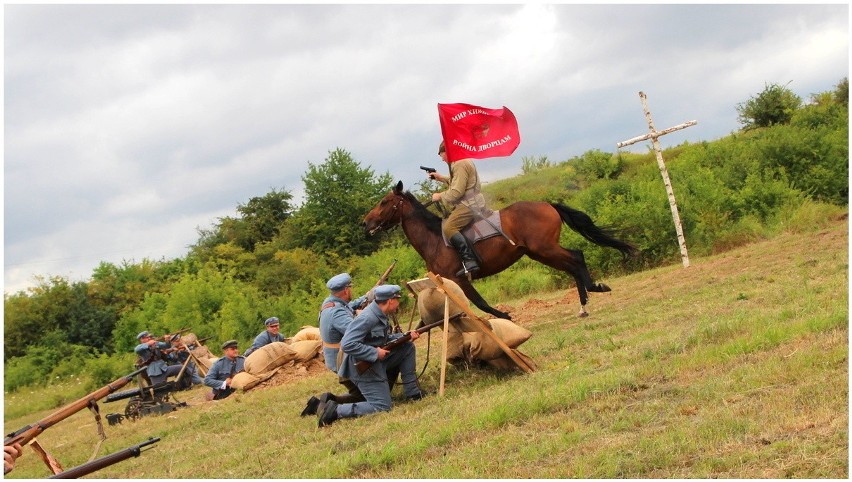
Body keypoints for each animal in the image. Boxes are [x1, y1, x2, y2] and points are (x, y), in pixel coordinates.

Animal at [362, 181, 636, 320]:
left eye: (384, 202)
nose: (365, 223)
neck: (434, 240)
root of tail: (547, 204)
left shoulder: (459, 279)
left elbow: (480, 303)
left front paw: (504, 317)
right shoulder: (445, 284)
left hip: (545, 248)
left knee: (577, 258)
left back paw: (594, 290)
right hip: (540, 252)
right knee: (572, 265)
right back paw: (584, 305)